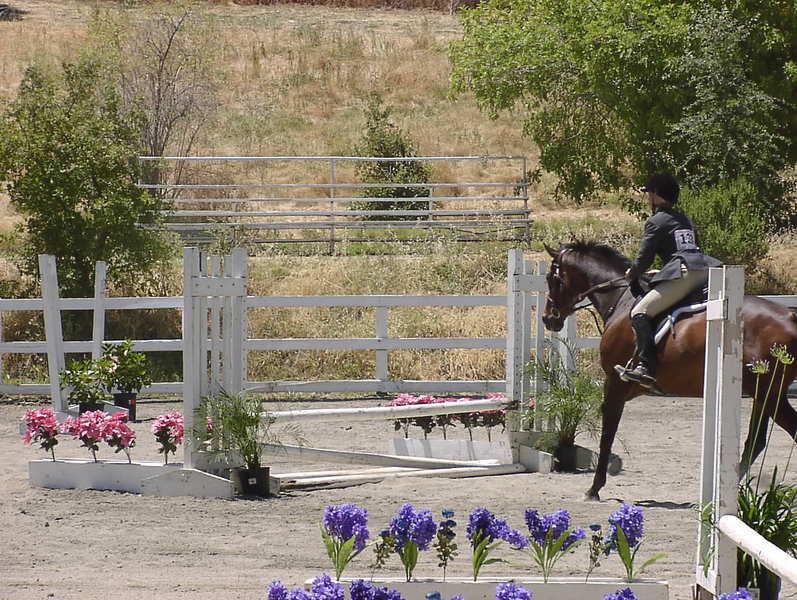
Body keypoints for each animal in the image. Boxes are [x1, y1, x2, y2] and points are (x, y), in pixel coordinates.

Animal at [541, 240, 797, 501]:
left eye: (552, 278)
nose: (548, 318)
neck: (621, 299)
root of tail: (790, 315)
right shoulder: (630, 386)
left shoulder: (615, 383)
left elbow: (607, 434)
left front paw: (594, 488)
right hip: (765, 394)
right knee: (758, 441)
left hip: (767, 393)